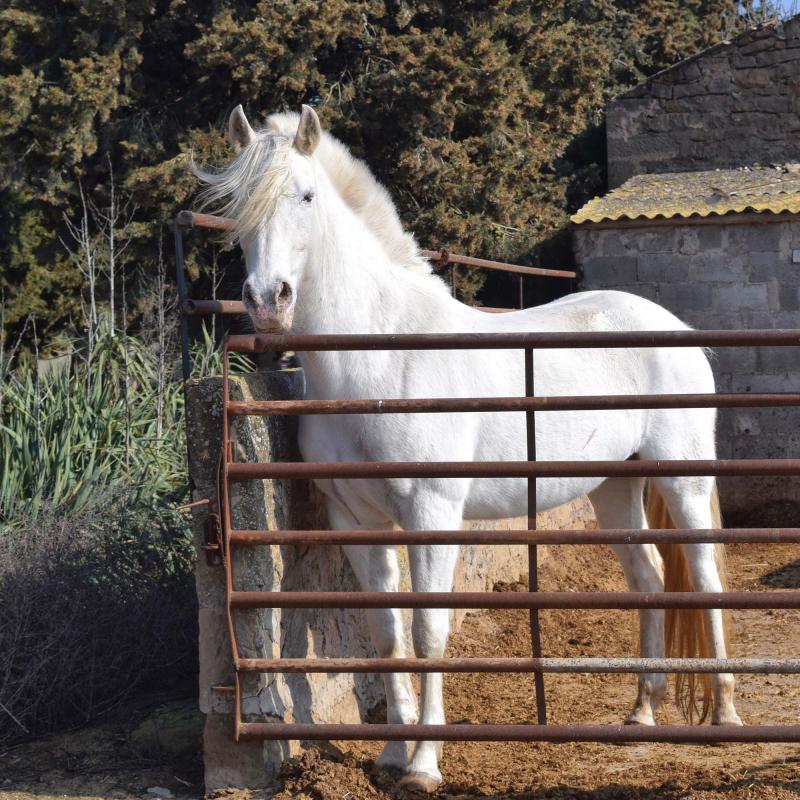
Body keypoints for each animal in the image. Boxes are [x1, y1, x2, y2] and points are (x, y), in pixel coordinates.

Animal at [195, 103, 744, 792]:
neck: (380, 356)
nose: (268, 301)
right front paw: (390, 756)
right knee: (646, 578)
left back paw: (725, 715)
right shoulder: (358, 520)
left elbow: (429, 631)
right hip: (615, 486)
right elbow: (387, 633)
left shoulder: (431, 513)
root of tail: (675, 329)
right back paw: (642, 711)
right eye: (238, 207)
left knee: (705, 577)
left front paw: (424, 765)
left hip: (683, 479)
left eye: (306, 196)